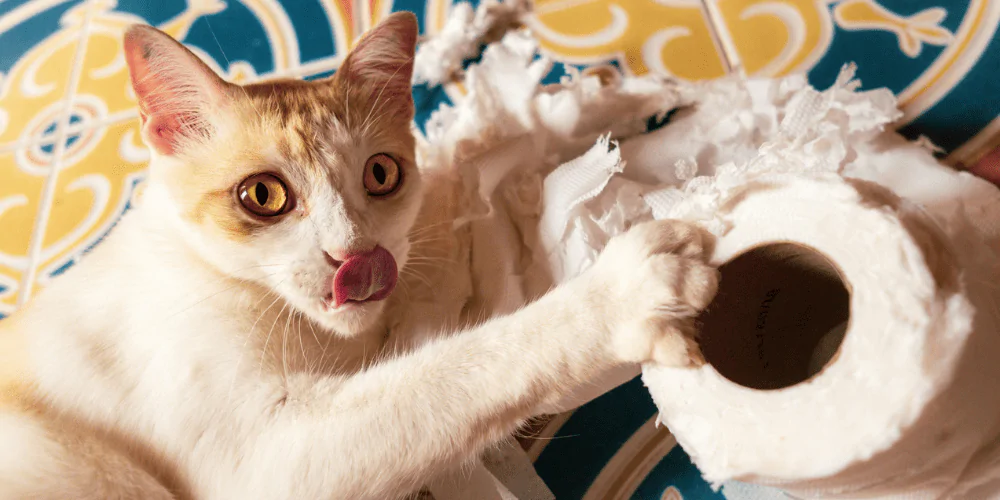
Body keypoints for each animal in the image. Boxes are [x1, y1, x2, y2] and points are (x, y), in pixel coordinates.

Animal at [0, 11, 720, 500]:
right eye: (261, 196)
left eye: (381, 174)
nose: (358, 254)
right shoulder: (265, 459)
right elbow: (449, 373)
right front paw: (621, 294)